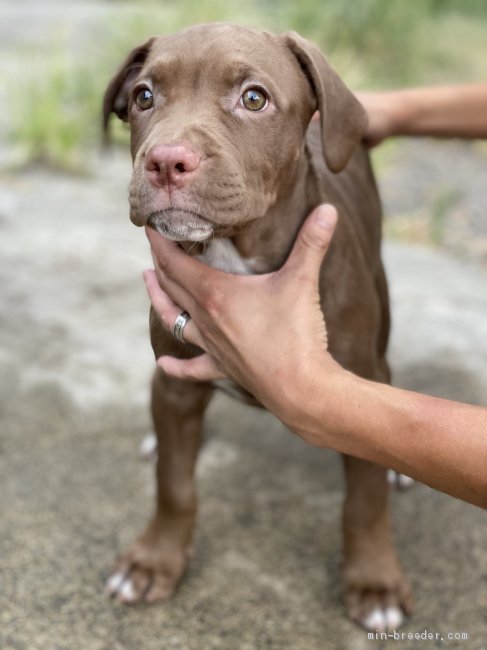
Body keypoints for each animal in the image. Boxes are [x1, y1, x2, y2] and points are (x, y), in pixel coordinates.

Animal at [105, 24, 414, 628]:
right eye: (144, 96)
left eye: (254, 98)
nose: (166, 162)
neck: (233, 256)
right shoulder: (175, 378)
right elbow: (174, 485)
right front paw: (155, 561)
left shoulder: (353, 381)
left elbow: (364, 499)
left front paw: (374, 584)